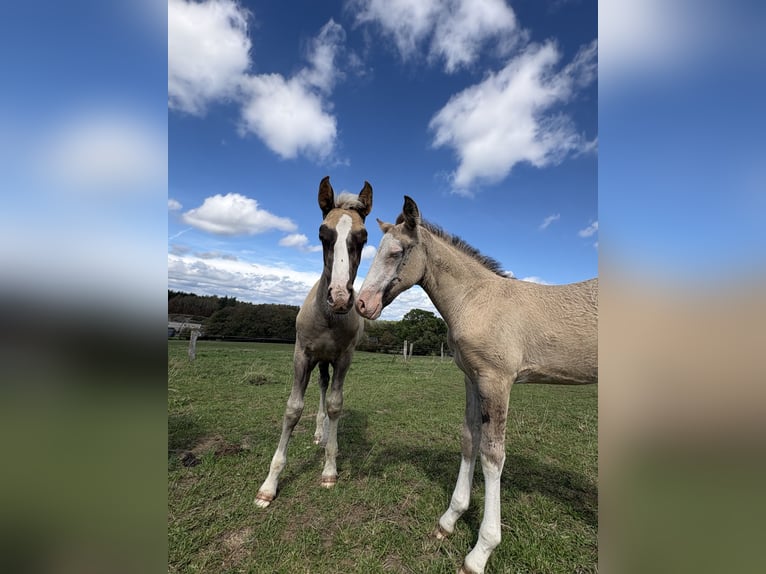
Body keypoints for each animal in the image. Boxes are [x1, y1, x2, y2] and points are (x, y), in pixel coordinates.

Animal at [255, 176, 372, 508]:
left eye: (363, 237)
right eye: (322, 235)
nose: (341, 298)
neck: (328, 318)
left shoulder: (344, 358)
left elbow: (335, 404)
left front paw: (330, 469)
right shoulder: (302, 356)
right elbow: (293, 409)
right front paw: (268, 486)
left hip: (329, 360)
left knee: (327, 394)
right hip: (318, 360)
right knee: (320, 387)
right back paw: (319, 433)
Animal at [356, 196, 597, 574]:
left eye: (396, 252)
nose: (362, 304)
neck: (477, 300)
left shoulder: (497, 380)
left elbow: (492, 454)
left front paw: (481, 550)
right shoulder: (472, 377)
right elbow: (469, 439)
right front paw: (449, 519)